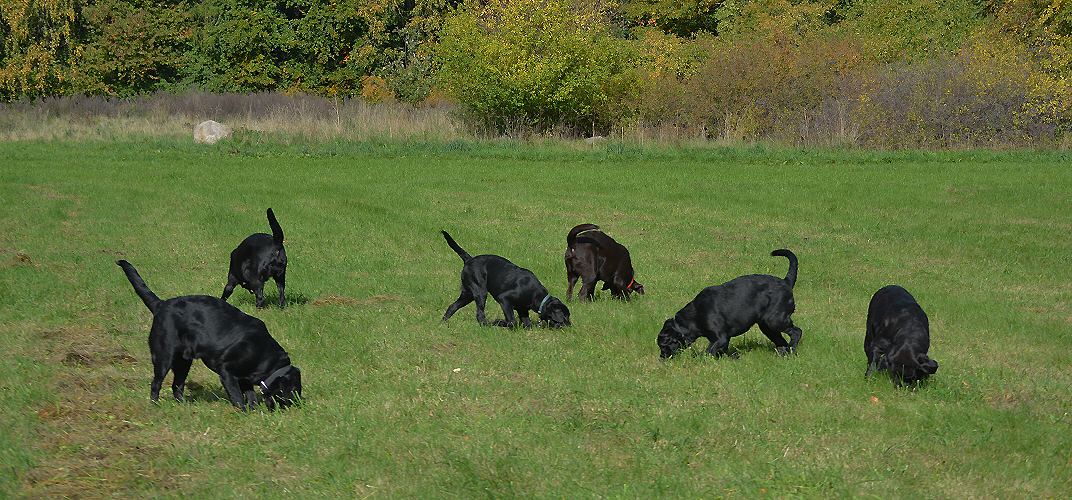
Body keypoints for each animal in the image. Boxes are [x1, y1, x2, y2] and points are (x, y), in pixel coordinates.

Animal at [439, 230, 570, 328]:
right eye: (565, 317)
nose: (570, 325)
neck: (537, 296)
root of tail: (469, 259)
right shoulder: (504, 299)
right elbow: (512, 321)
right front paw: (499, 322)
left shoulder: (522, 309)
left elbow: (527, 324)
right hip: (480, 292)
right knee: (479, 314)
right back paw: (487, 325)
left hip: (468, 294)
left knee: (452, 306)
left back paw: (443, 322)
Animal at [656, 249, 801, 358]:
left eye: (663, 345)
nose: (661, 358)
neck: (694, 315)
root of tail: (786, 281)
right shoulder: (723, 339)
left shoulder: (720, 338)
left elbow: (707, 353)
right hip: (767, 327)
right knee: (782, 342)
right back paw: (784, 354)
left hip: (775, 321)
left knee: (797, 332)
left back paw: (790, 350)